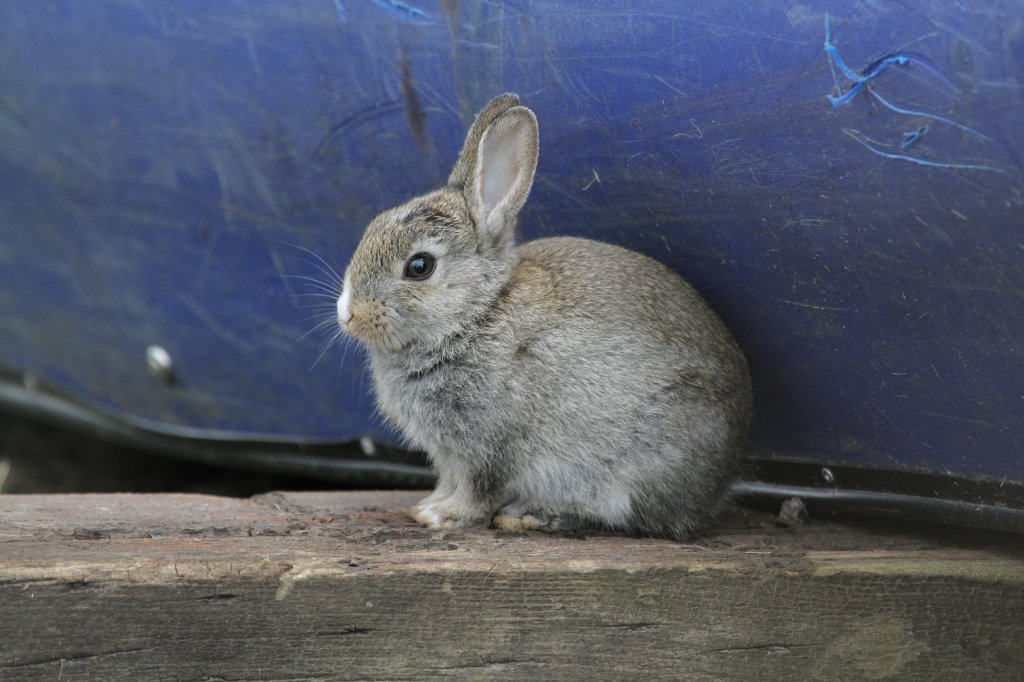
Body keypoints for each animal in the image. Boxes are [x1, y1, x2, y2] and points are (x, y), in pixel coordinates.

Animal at [335, 93, 753, 540]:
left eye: (419, 266)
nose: (348, 313)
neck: (475, 314)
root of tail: (719, 484)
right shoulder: (449, 456)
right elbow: (451, 481)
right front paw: (429, 505)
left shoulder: (487, 446)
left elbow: (480, 489)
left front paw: (444, 515)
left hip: (636, 463)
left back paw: (532, 514)